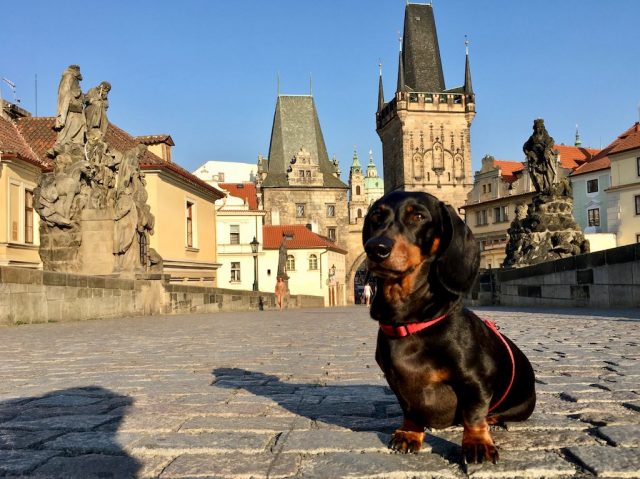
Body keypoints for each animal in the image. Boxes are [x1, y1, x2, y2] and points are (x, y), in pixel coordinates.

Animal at [362, 191, 536, 464]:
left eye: (418, 216)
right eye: (376, 216)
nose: (375, 247)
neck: (411, 322)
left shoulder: (476, 380)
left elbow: (473, 414)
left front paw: (477, 444)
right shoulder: (397, 383)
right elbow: (410, 409)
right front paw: (410, 433)